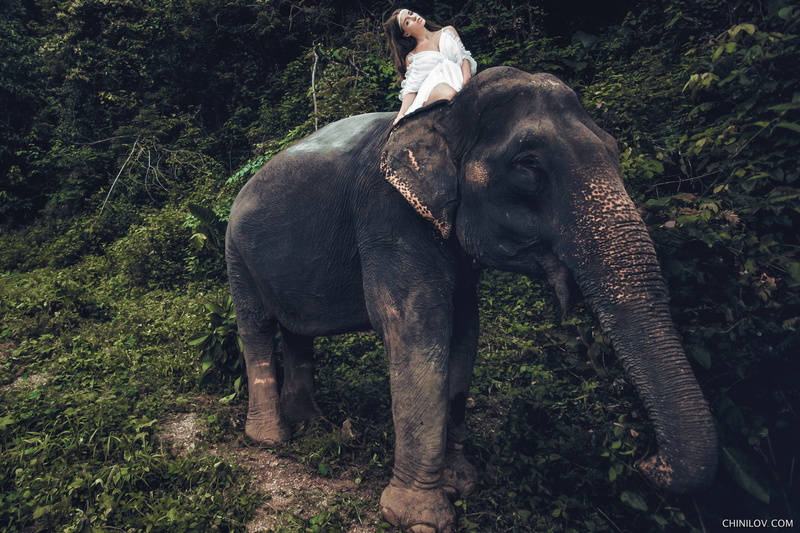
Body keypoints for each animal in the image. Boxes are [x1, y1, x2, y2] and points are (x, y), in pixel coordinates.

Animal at [225, 66, 718, 532]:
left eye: (614, 150)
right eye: (528, 166)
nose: (647, 462)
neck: (445, 113)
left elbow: (464, 334)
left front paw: (460, 484)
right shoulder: (388, 220)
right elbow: (417, 329)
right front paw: (419, 518)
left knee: (295, 332)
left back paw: (310, 423)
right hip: (236, 256)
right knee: (256, 328)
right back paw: (272, 439)